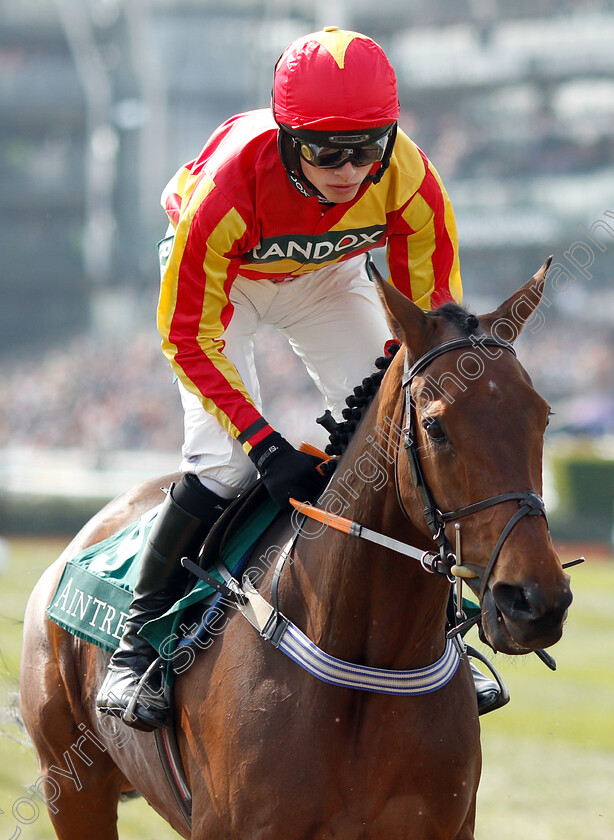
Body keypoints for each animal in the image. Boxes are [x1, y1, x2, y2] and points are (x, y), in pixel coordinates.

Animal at [21, 260, 576, 836]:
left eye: (543, 416)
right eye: (435, 426)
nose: (534, 600)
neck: (370, 661)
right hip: (72, 787)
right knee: (215, 473)